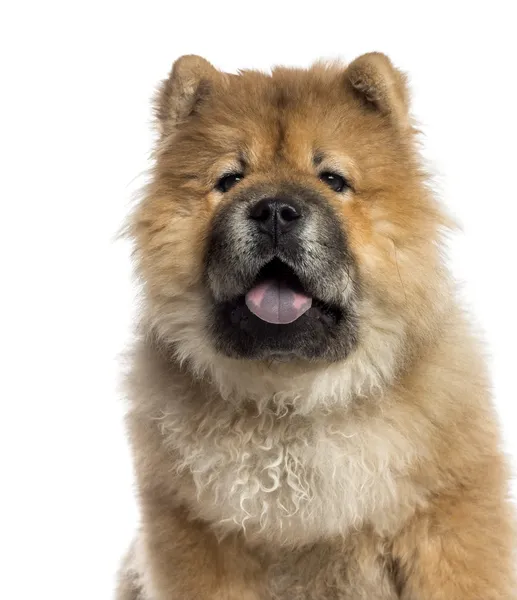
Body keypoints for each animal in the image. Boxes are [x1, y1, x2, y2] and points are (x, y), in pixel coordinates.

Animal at [117, 54, 516, 596]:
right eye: (229, 180)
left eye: (333, 179)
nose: (274, 211)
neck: (293, 402)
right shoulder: (195, 531)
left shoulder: (447, 515)